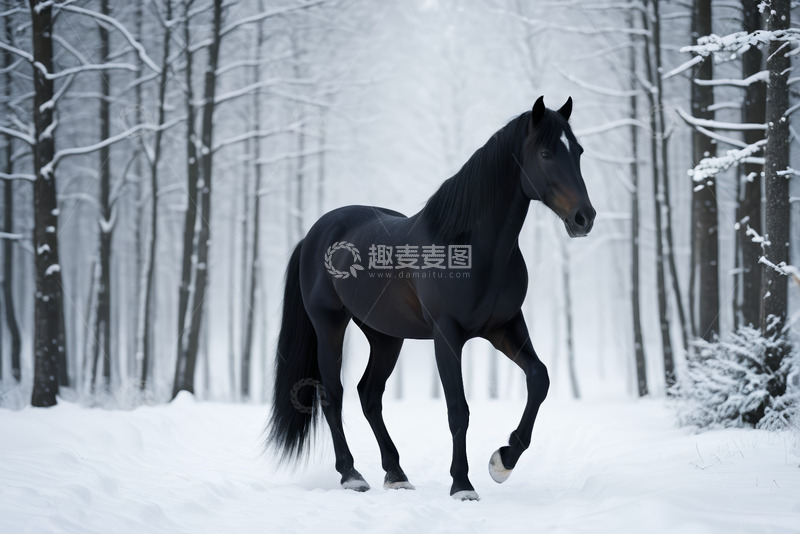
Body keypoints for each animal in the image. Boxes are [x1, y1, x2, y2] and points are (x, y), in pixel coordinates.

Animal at [267, 96, 595, 501]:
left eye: (578, 151)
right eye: (547, 153)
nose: (584, 218)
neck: (471, 247)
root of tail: (316, 233)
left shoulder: (504, 326)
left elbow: (539, 378)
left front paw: (502, 461)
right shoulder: (447, 333)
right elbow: (458, 409)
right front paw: (462, 485)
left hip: (385, 336)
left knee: (369, 395)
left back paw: (396, 473)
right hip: (329, 325)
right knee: (333, 394)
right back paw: (352, 475)